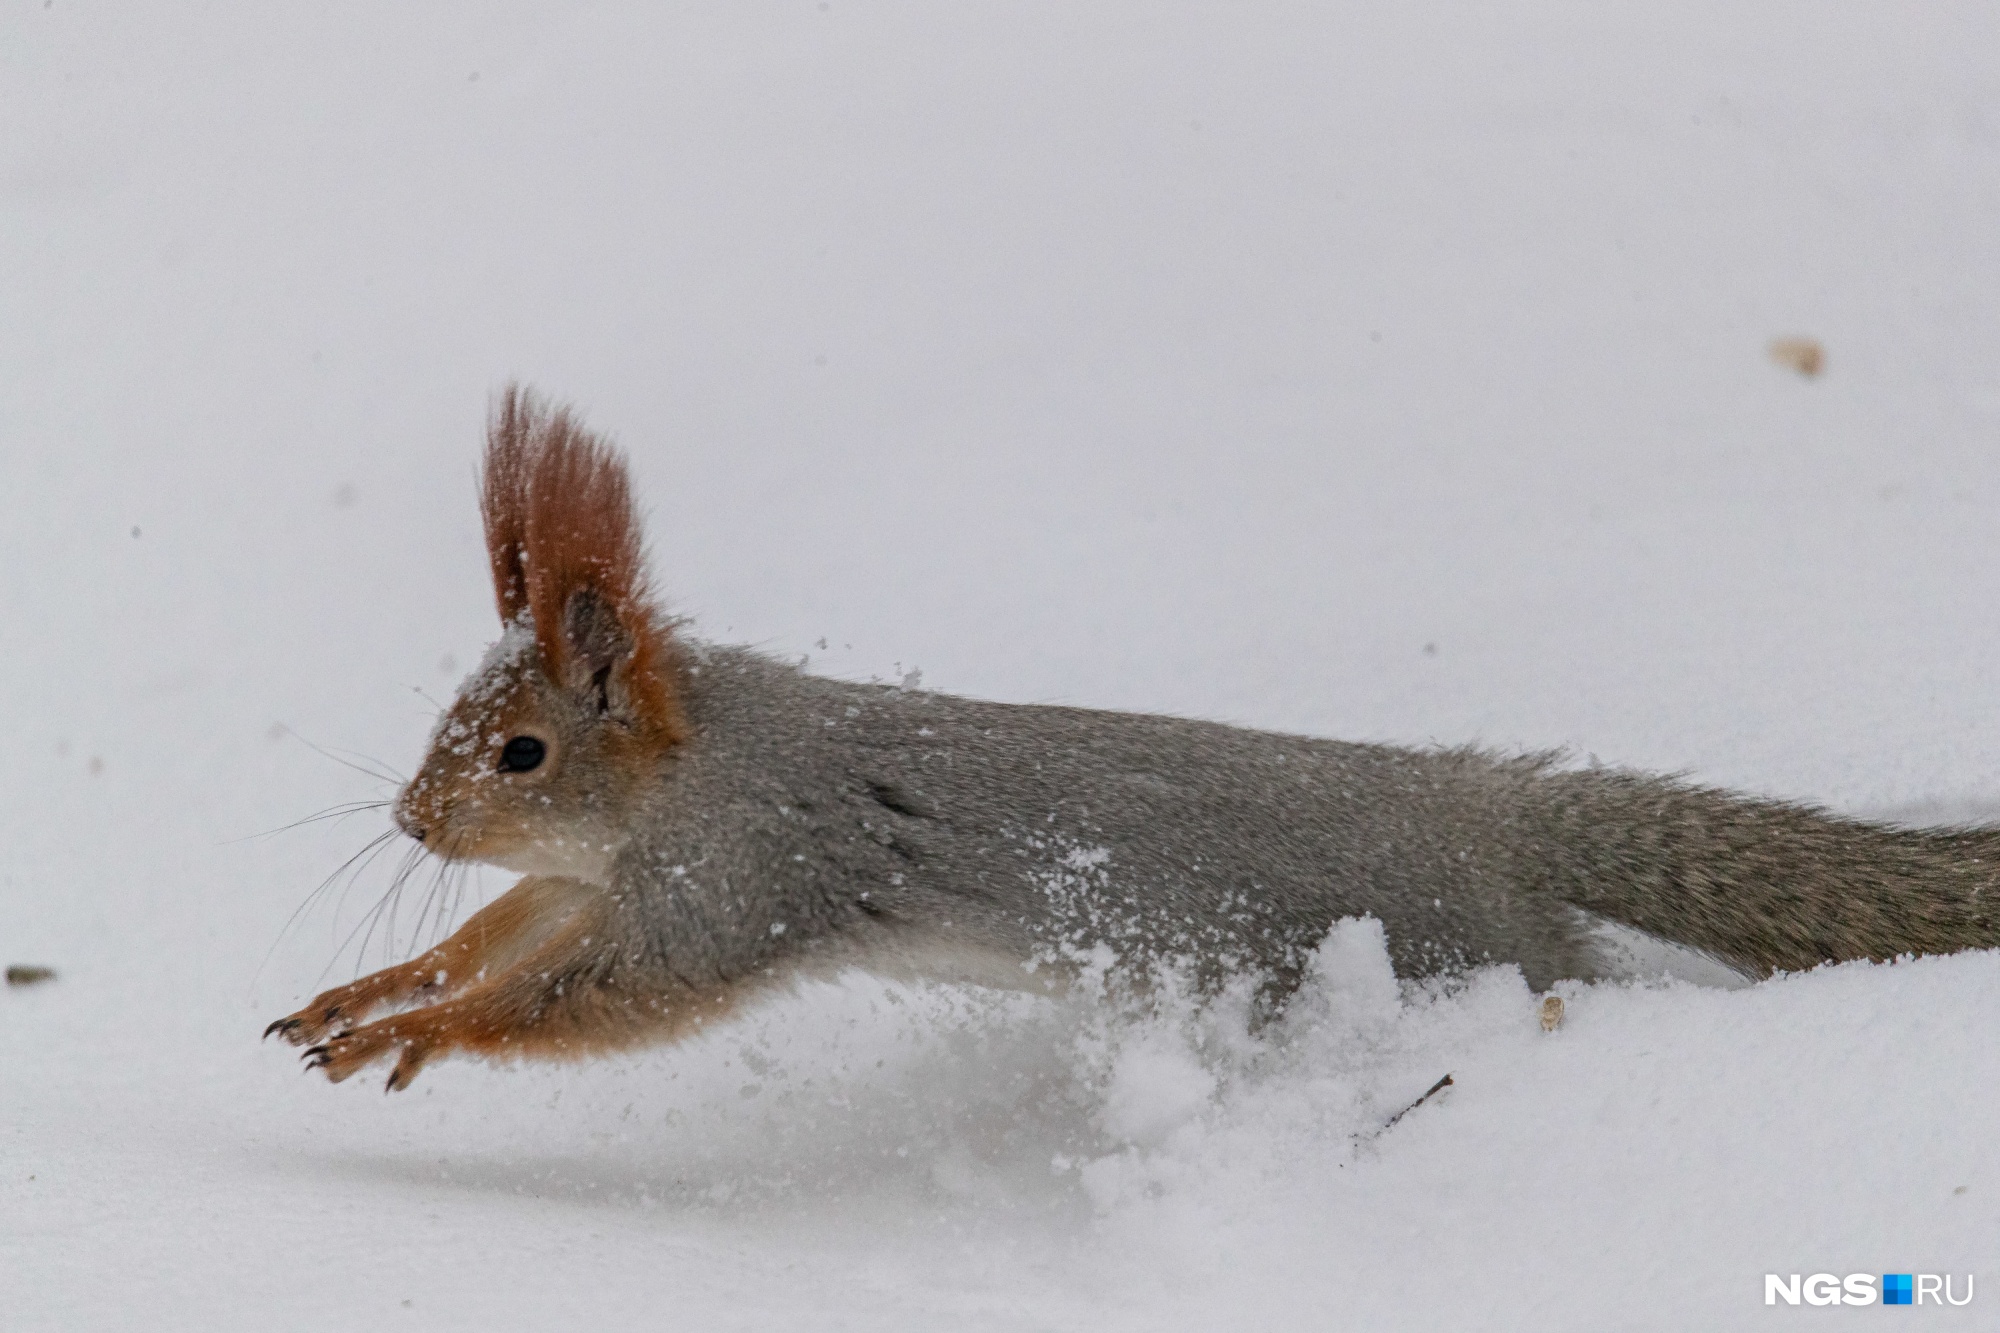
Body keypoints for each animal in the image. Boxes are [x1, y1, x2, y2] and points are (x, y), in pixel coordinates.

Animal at [266, 378, 2000, 1088]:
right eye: (455, 723)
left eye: (521, 755)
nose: (411, 823)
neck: (688, 774)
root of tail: (1476, 814)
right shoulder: (599, 878)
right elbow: (498, 933)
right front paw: (368, 993)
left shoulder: (737, 878)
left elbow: (586, 996)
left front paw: (432, 1035)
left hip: (1453, 947)